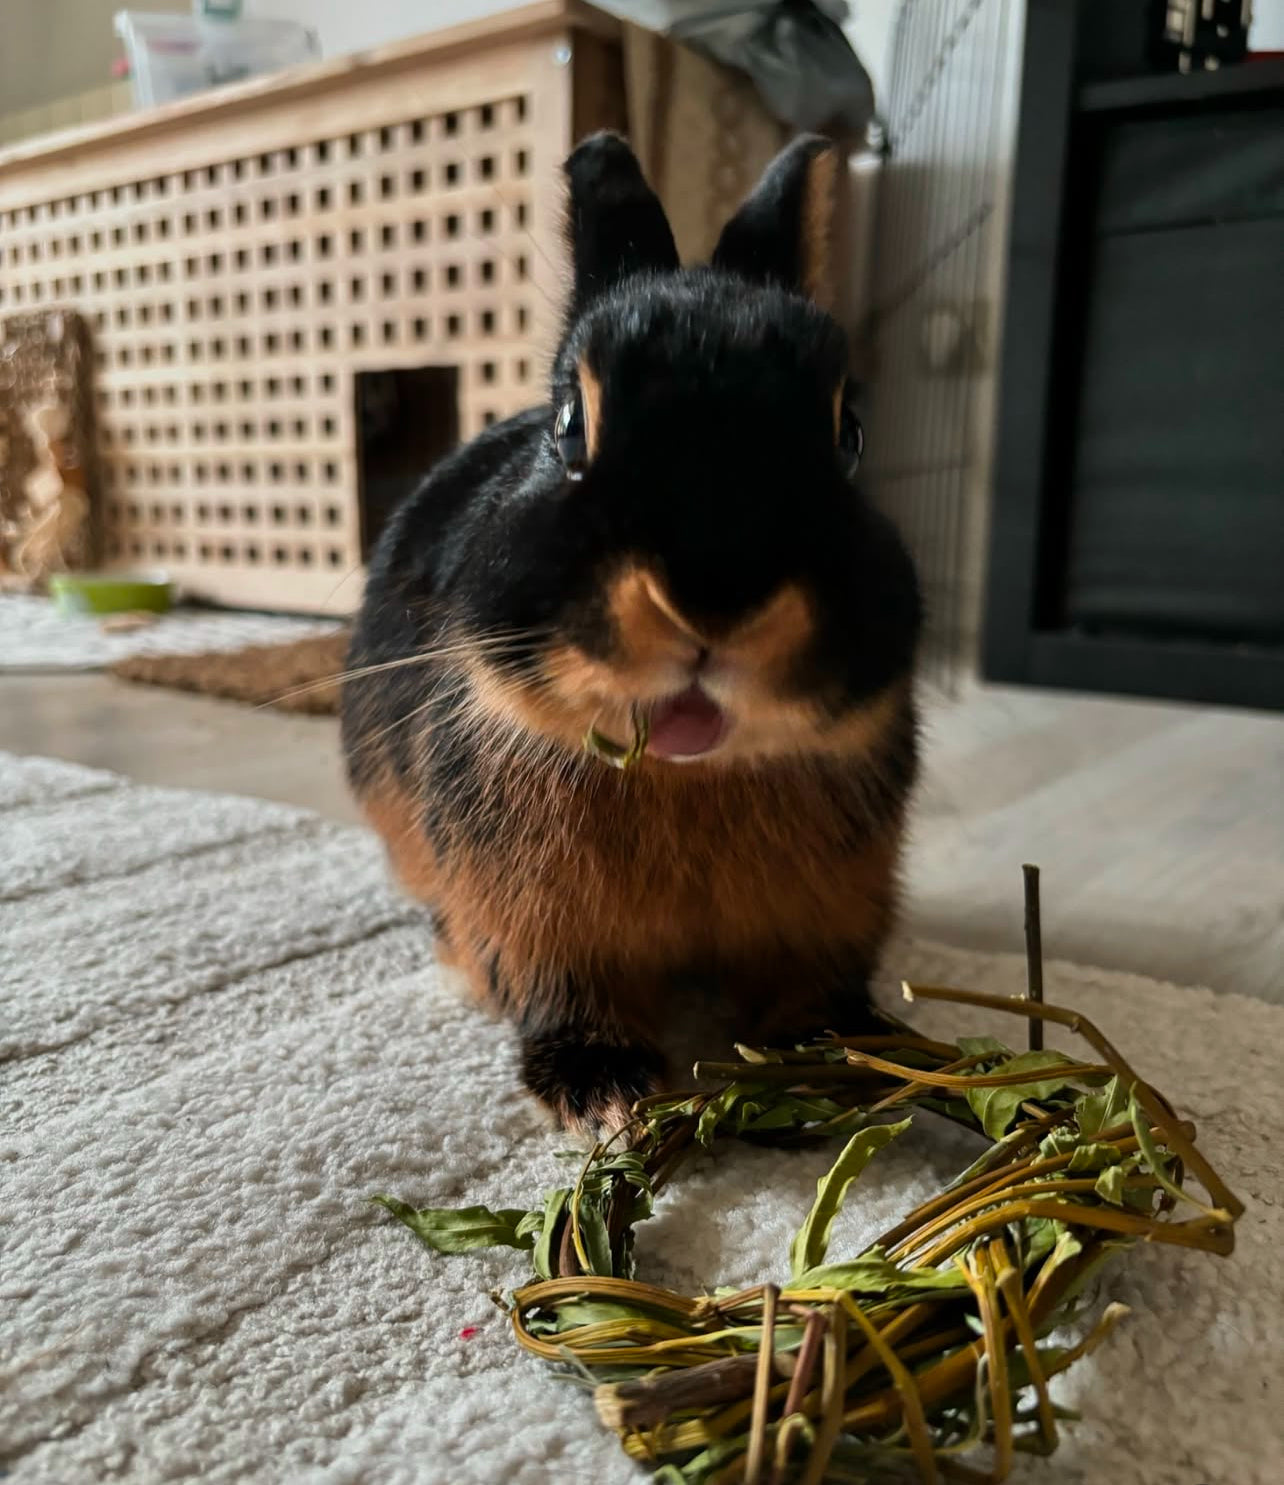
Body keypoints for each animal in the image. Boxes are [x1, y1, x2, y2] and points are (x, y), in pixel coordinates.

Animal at [341, 133, 920, 1128]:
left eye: (849, 435)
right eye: (571, 426)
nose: (714, 598)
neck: (685, 776)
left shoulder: (830, 914)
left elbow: (811, 987)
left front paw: (824, 1062)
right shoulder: (539, 923)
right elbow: (563, 991)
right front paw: (603, 1094)